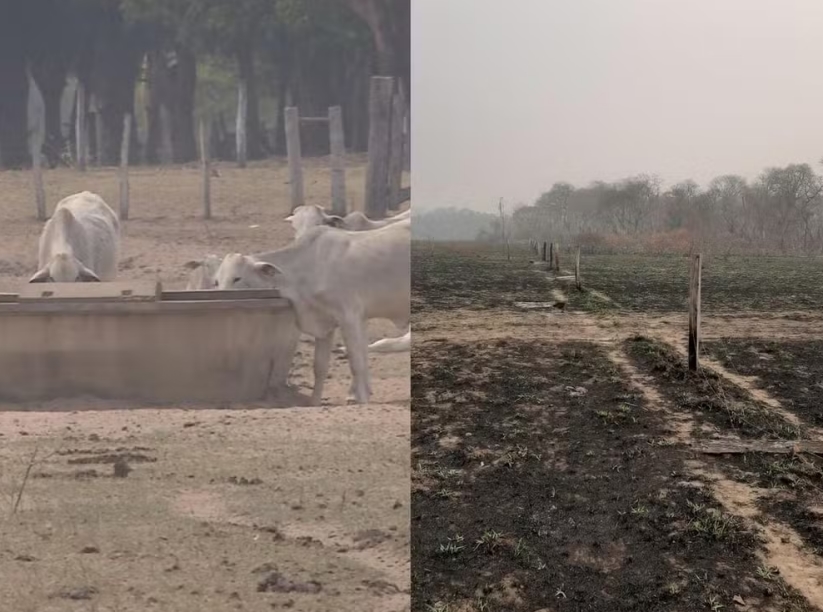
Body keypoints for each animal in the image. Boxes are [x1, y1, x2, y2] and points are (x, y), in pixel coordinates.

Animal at [214, 218, 410, 404]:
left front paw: (361, 399)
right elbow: (320, 366)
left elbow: (357, 362)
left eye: (237, 278)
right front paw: (315, 401)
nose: (221, 295)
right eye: (217, 280)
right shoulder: (327, 323)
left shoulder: (349, 316)